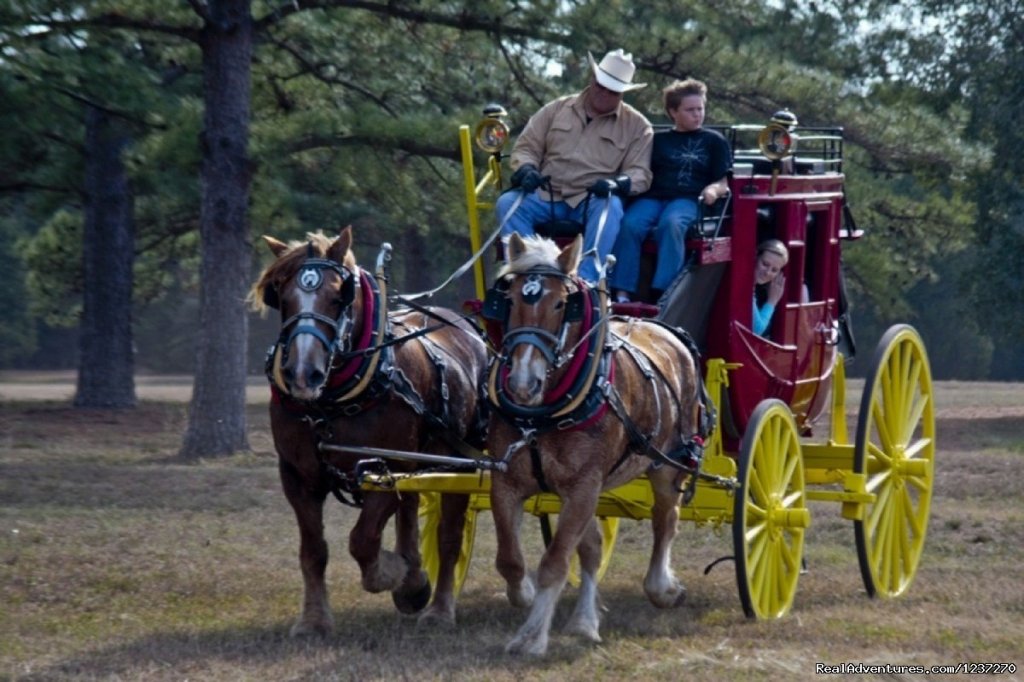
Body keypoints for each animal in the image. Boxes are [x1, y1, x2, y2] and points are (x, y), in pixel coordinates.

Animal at [248, 224, 487, 630]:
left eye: (337, 297)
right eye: (283, 295)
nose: (302, 374)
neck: (329, 405)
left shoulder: (386, 468)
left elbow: (362, 540)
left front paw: (390, 574)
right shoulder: (297, 475)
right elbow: (314, 550)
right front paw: (314, 619)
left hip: (457, 465)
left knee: (449, 536)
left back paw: (439, 609)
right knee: (411, 510)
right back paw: (415, 578)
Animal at [483, 233, 708, 655]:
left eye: (561, 304)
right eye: (512, 299)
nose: (523, 382)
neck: (542, 414)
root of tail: (664, 329)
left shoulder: (583, 487)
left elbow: (555, 562)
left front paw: (532, 635)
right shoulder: (508, 483)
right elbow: (512, 559)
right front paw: (525, 595)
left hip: (668, 465)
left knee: (664, 521)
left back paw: (662, 588)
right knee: (591, 547)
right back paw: (585, 621)